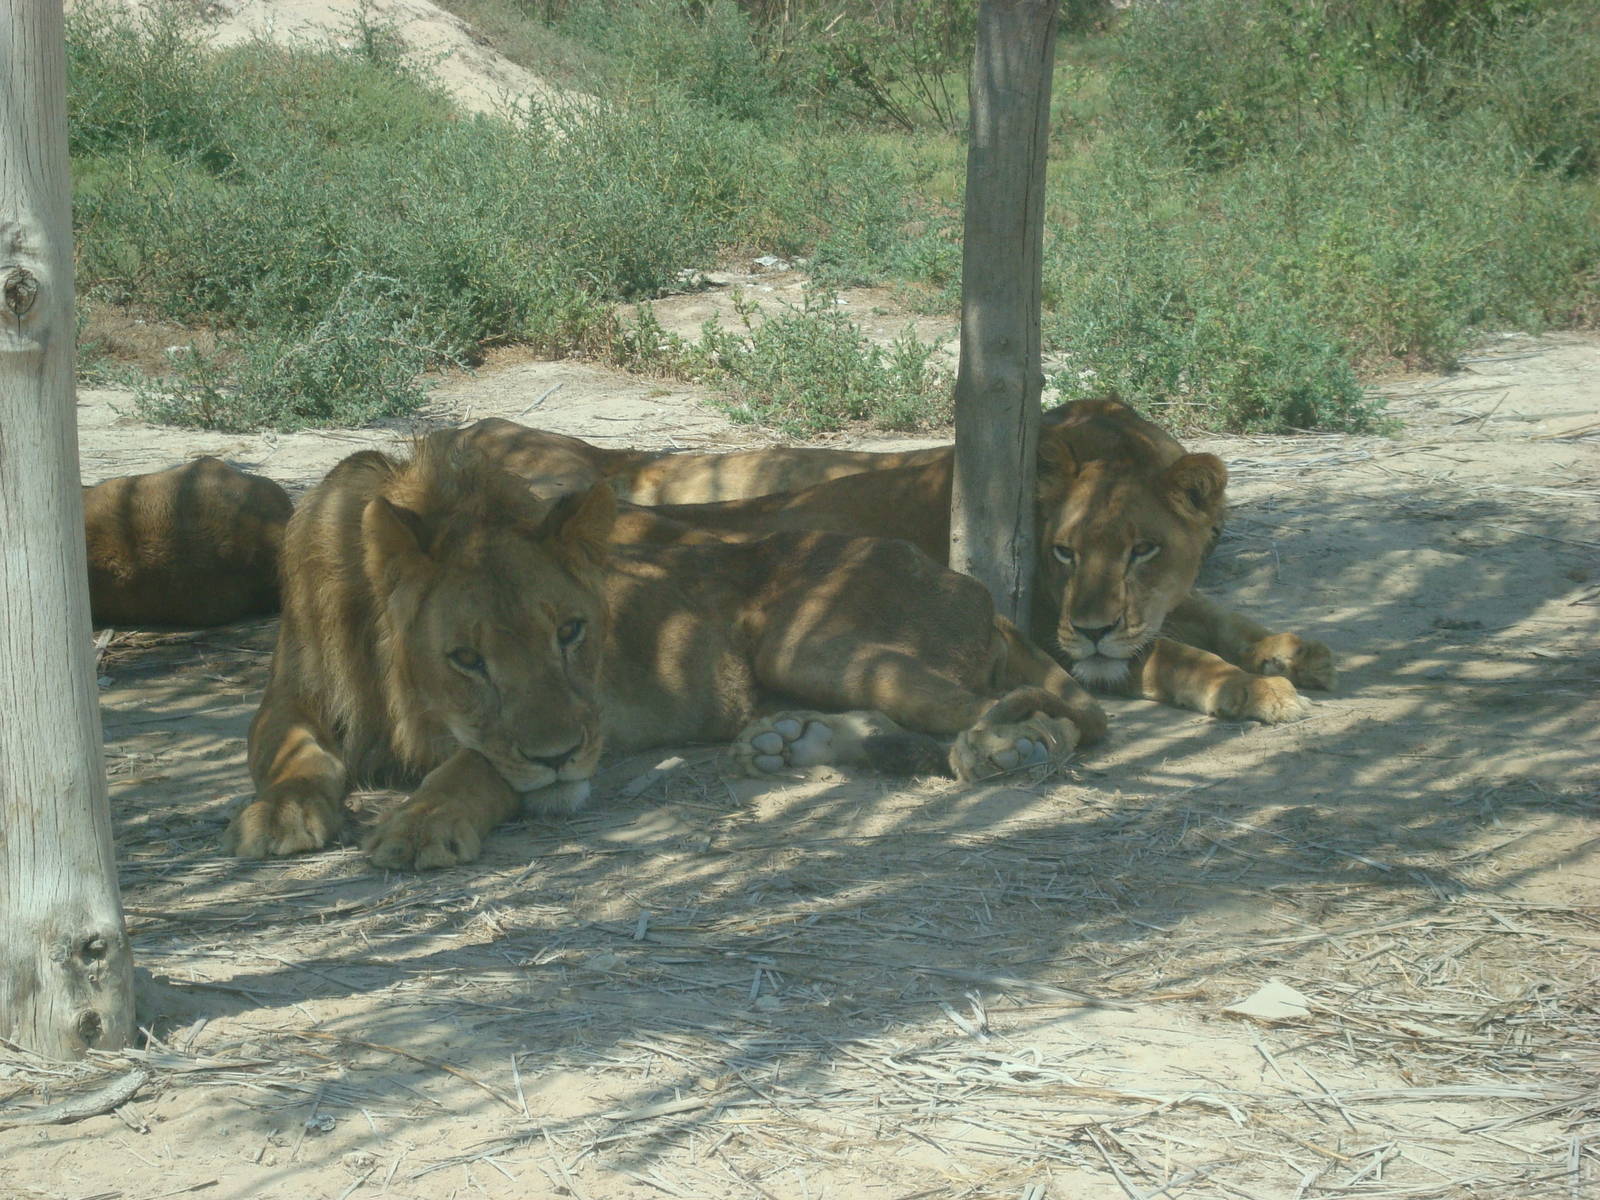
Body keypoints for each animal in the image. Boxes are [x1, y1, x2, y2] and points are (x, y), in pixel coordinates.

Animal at [226, 433, 1106, 869]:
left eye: (571, 632)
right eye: (466, 659)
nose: (558, 757)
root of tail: (966, 583)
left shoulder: (585, 721)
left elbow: (475, 765)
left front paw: (421, 825)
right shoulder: (287, 697)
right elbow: (290, 752)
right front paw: (284, 813)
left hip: (811, 639)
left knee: (1048, 720)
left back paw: (1005, 749)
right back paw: (788, 743)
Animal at [473, 400, 1336, 724]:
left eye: (1143, 548)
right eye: (1064, 550)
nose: (1091, 629)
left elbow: (1214, 615)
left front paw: (1293, 651)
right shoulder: (1050, 626)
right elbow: (1178, 654)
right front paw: (1260, 689)